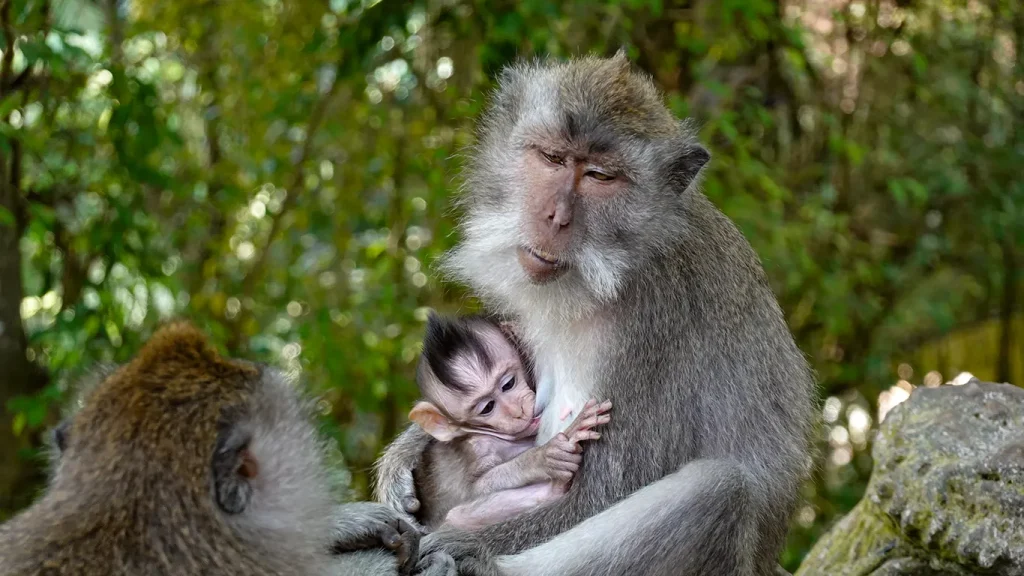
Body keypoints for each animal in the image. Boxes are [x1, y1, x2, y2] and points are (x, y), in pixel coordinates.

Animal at [408, 312, 611, 531]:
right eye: (487, 408)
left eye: (508, 384)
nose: (517, 411)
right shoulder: (477, 447)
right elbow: (476, 488)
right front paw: (544, 457)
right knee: (457, 516)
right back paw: (554, 487)